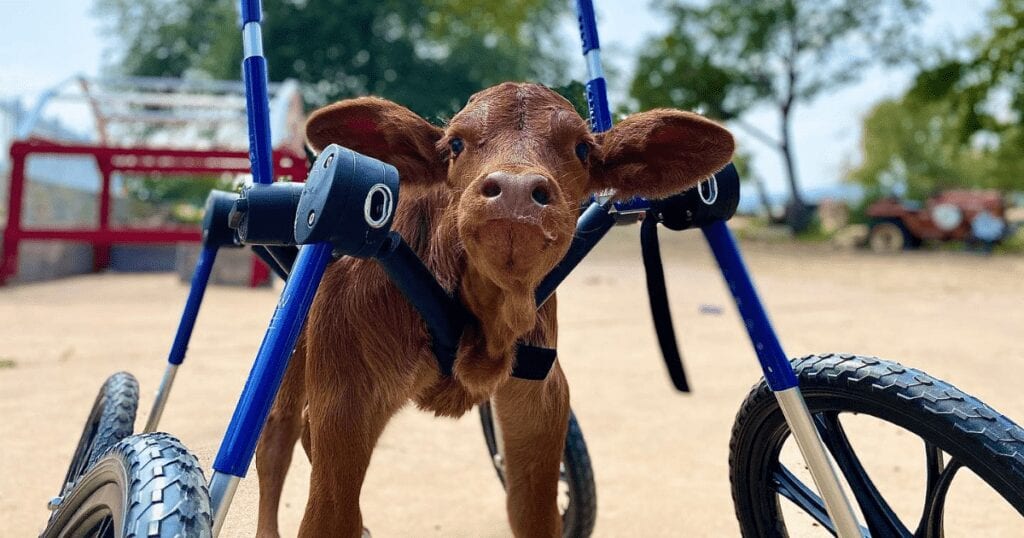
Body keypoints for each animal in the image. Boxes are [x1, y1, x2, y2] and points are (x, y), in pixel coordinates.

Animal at [256, 81, 737, 532]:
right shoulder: (346, 394)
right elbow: (328, 516)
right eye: (455, 143)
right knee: (277, 436)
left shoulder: (542, 398)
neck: (486, 325)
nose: (516, 190)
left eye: (582, 148)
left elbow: (532, 513)